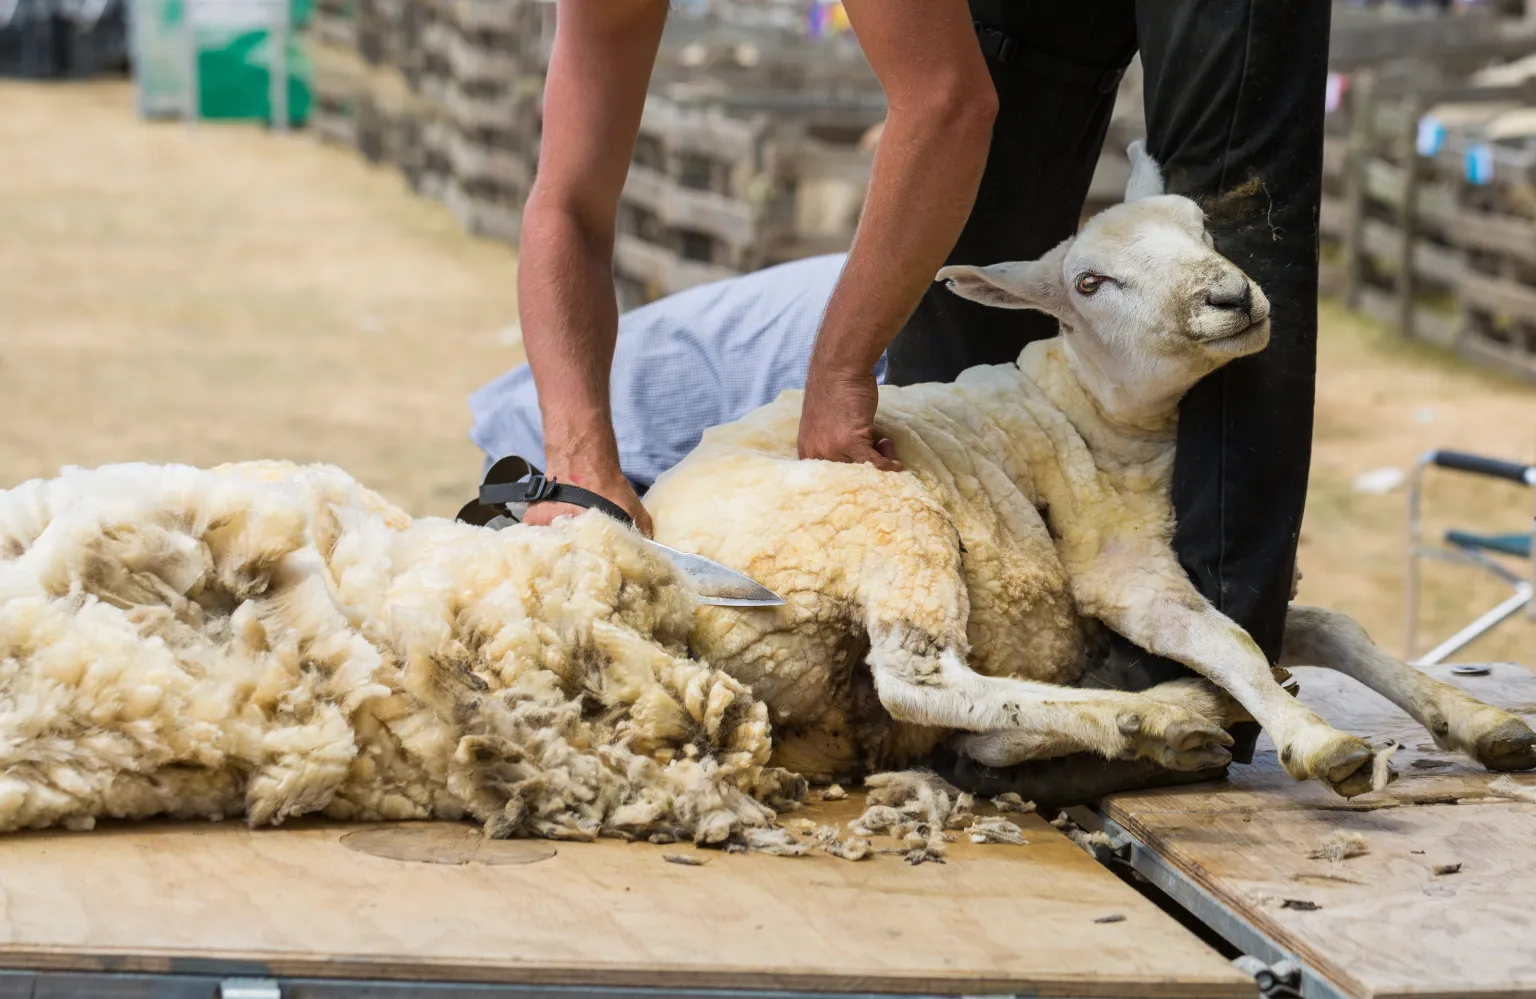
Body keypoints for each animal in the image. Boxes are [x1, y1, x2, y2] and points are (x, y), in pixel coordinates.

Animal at [648, 142, 1536, 793]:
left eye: (1202, 227)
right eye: (1089, 282)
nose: (1230, 297)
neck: (1100, 415)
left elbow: (1327, 628)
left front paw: (1478, 721)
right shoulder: (1123, 575)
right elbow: (1228, 637)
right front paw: (1318, 741)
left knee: (948, 731)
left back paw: (1158, 721)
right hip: (882, 521)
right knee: (922, 679)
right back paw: (1161, 714)